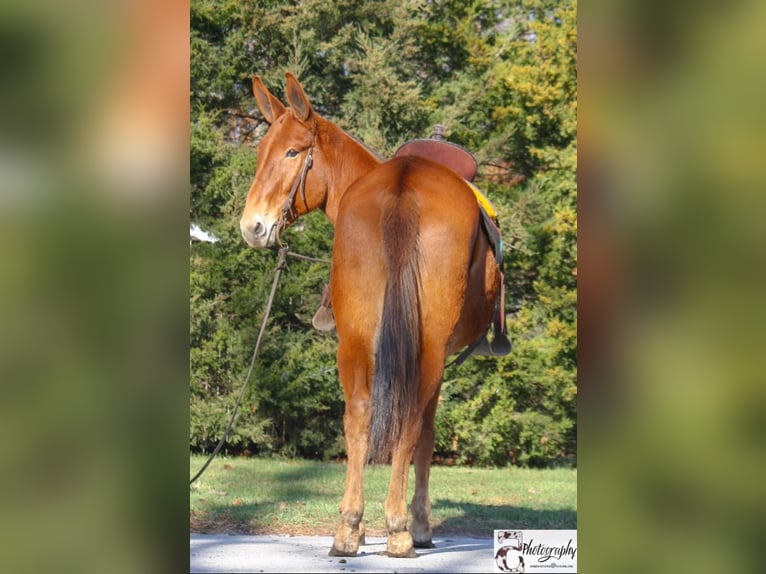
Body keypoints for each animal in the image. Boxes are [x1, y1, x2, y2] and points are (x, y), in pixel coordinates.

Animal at [242, 72, 504, 560]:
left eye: (291, 152)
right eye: (260, 151)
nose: (252, 227)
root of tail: (404, 183)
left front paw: (361, 526)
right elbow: (424, 435)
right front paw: (416, 523)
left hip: (357, 339)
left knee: (359, 415)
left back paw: (348, 528)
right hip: (426, 347)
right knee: (409, 420)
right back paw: (400, 529)